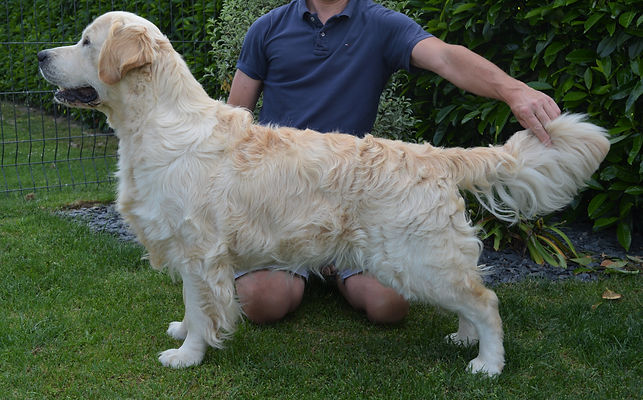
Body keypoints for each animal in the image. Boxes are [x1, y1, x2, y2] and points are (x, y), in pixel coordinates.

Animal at [37, 11, 612, 376]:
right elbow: (191, 303)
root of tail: (434, 154)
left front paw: (188, 355)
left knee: (486, 300)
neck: (153, 122)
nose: (41, 54)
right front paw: (182, 330)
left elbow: (204, 308)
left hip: (412, 259)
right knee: (472, 296)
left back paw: (487, 363)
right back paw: (465, 338)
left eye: (86, 42)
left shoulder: (200, 249)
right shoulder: (185, 247)